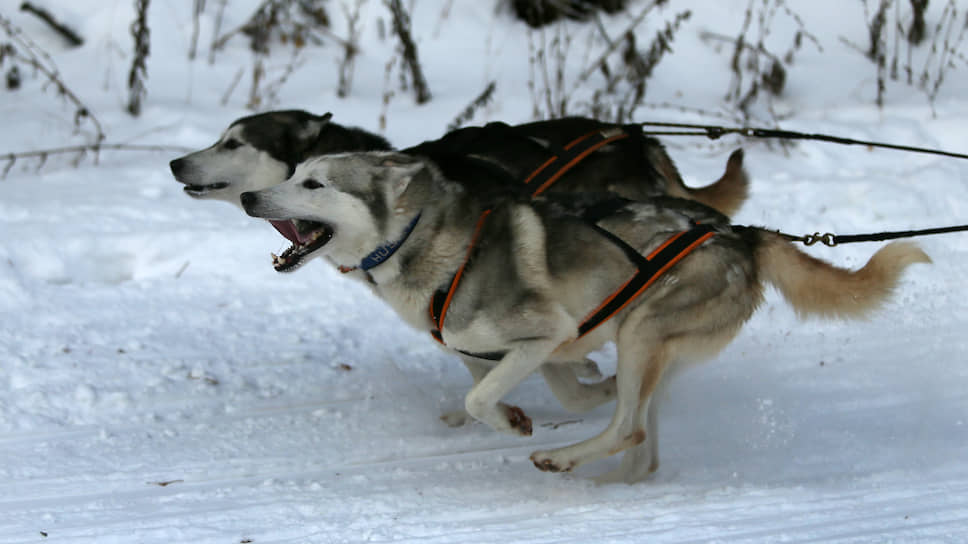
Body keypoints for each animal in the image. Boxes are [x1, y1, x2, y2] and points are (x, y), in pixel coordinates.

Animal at [236, 151, 932, 482]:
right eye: (294, 173)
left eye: (315, 185)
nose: (247, 195)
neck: (419, 241)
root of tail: (741, 232)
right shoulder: (526, 346)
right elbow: (550, 388)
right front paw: (579, 389)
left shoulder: (546, 334)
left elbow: (481, 399)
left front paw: (516, 421)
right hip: (648, 342)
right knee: (642, 445)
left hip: (644, 329)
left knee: (629, 428)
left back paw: (565, 459)